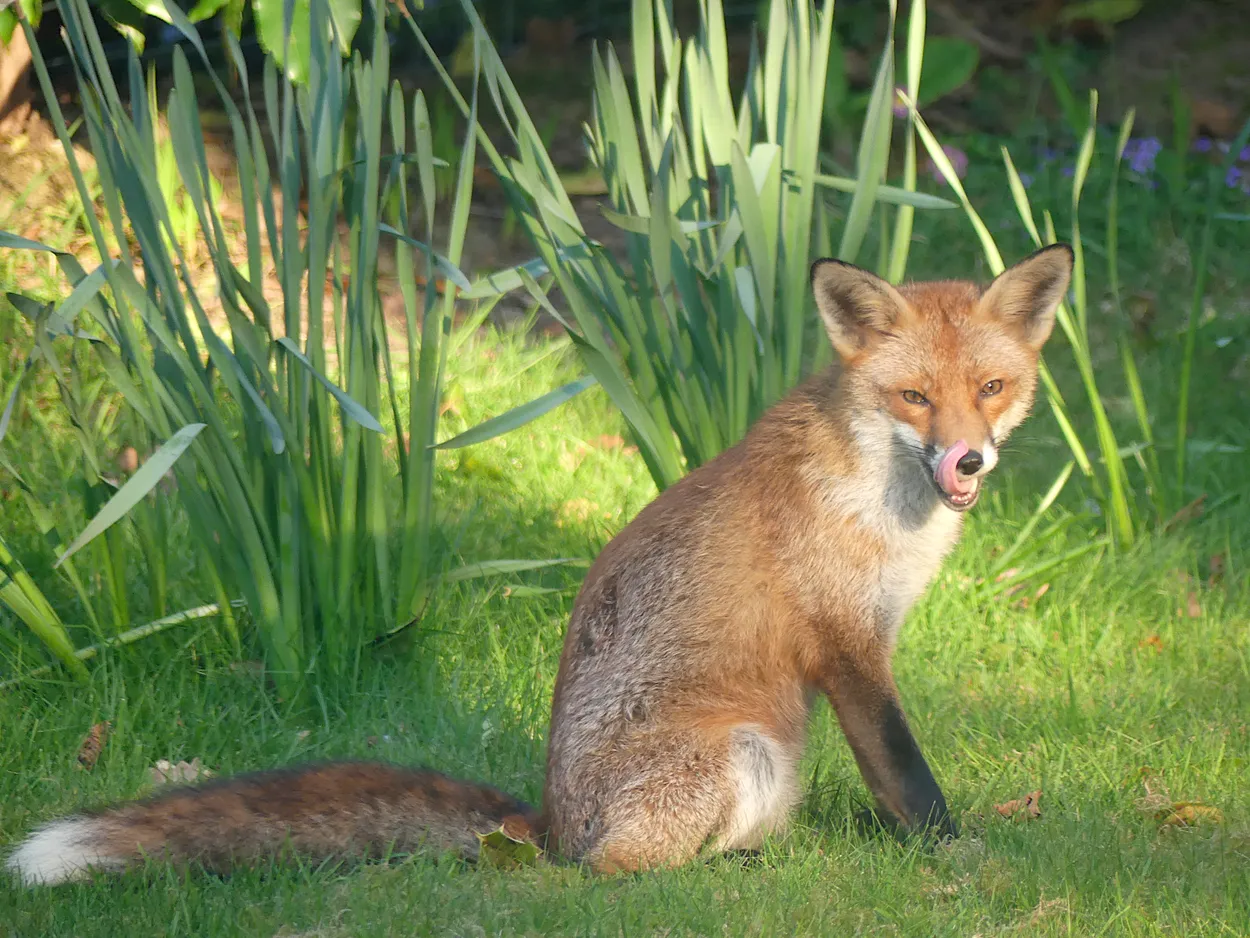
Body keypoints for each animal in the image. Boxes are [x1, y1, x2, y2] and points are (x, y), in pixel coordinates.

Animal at [6, 245, 1074, 886]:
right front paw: (956, 860)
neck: (878, 496)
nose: (970, 462)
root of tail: (549, 826)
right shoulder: (847, 647)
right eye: (913, 397)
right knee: (614, 877)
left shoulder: (868, 637)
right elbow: (908, 777)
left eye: (991, 388)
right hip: (745, 751)